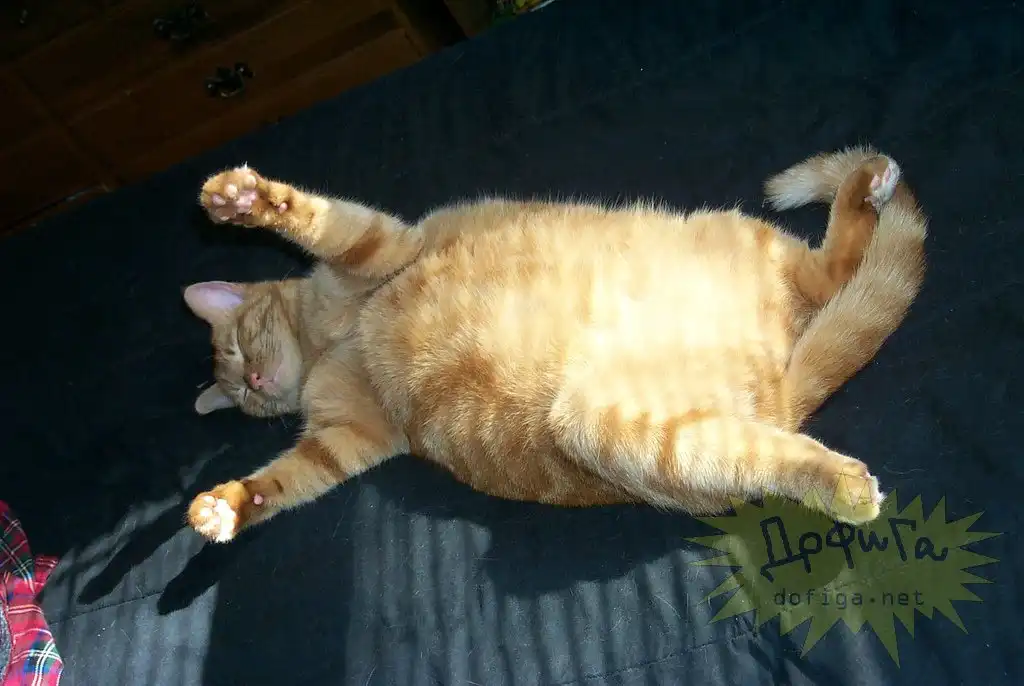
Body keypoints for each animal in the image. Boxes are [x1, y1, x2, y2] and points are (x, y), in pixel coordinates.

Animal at [182, 146, 926, 543]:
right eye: (237, 387)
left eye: (239, 347)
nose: (253, 385)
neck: (326, 348)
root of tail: (783, 388)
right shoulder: (345, 440)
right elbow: (284, 481)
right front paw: (227, 505)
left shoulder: (380, 249)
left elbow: (315, 219)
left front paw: (241, 200)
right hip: (628, 429)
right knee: (770, 451)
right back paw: (843, 487)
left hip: (736, 237)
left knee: (833, 269)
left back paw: (867, 185)